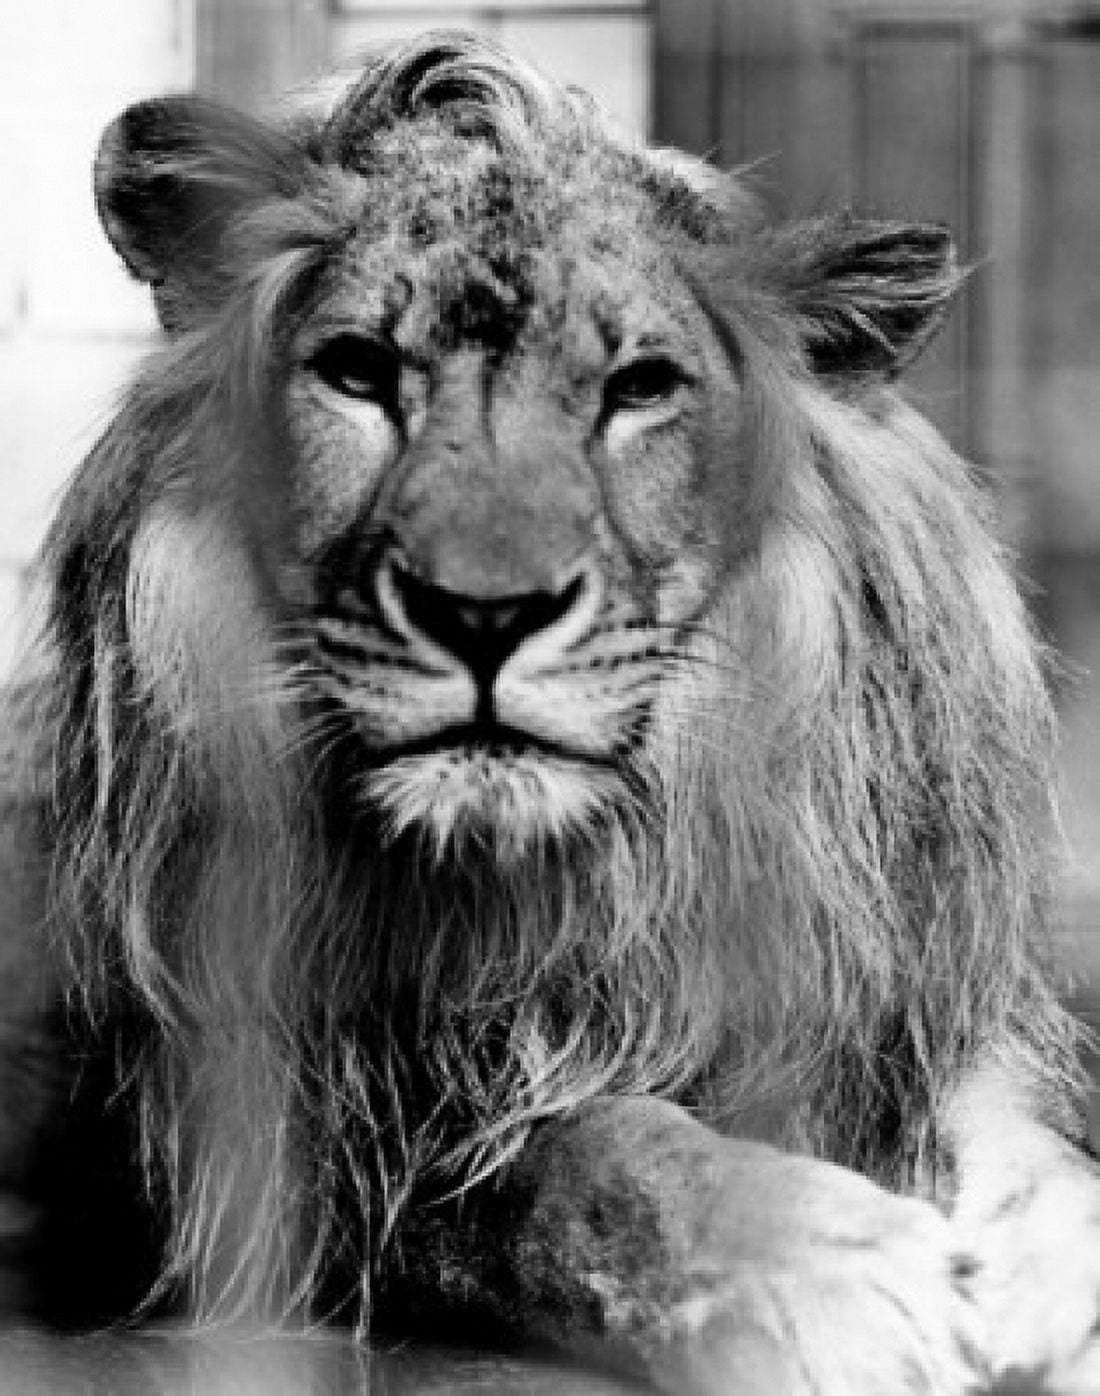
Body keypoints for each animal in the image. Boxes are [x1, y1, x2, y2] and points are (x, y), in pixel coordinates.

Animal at [1, 28, 1099, 1394]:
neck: (588, 862)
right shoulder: (332, 1147)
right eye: (359, 372)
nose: (483, 613)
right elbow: (585, 1156)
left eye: (637, 388)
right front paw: (821, 1266)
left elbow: (1037, 1155)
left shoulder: (917, 1009)